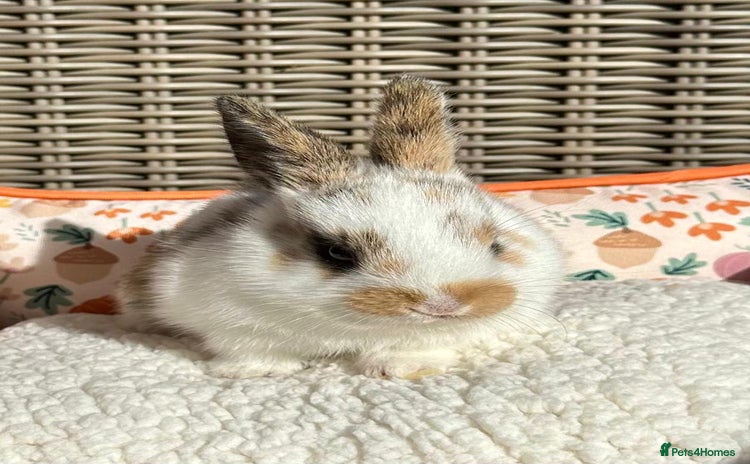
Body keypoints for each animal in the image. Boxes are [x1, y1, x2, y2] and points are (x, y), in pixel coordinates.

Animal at [115, 75, 564, 379]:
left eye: (495, 244)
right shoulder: (228, 321)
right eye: (337, 254)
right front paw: (257, 371)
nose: (443, 306)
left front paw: (400, 369)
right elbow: (249, 351)